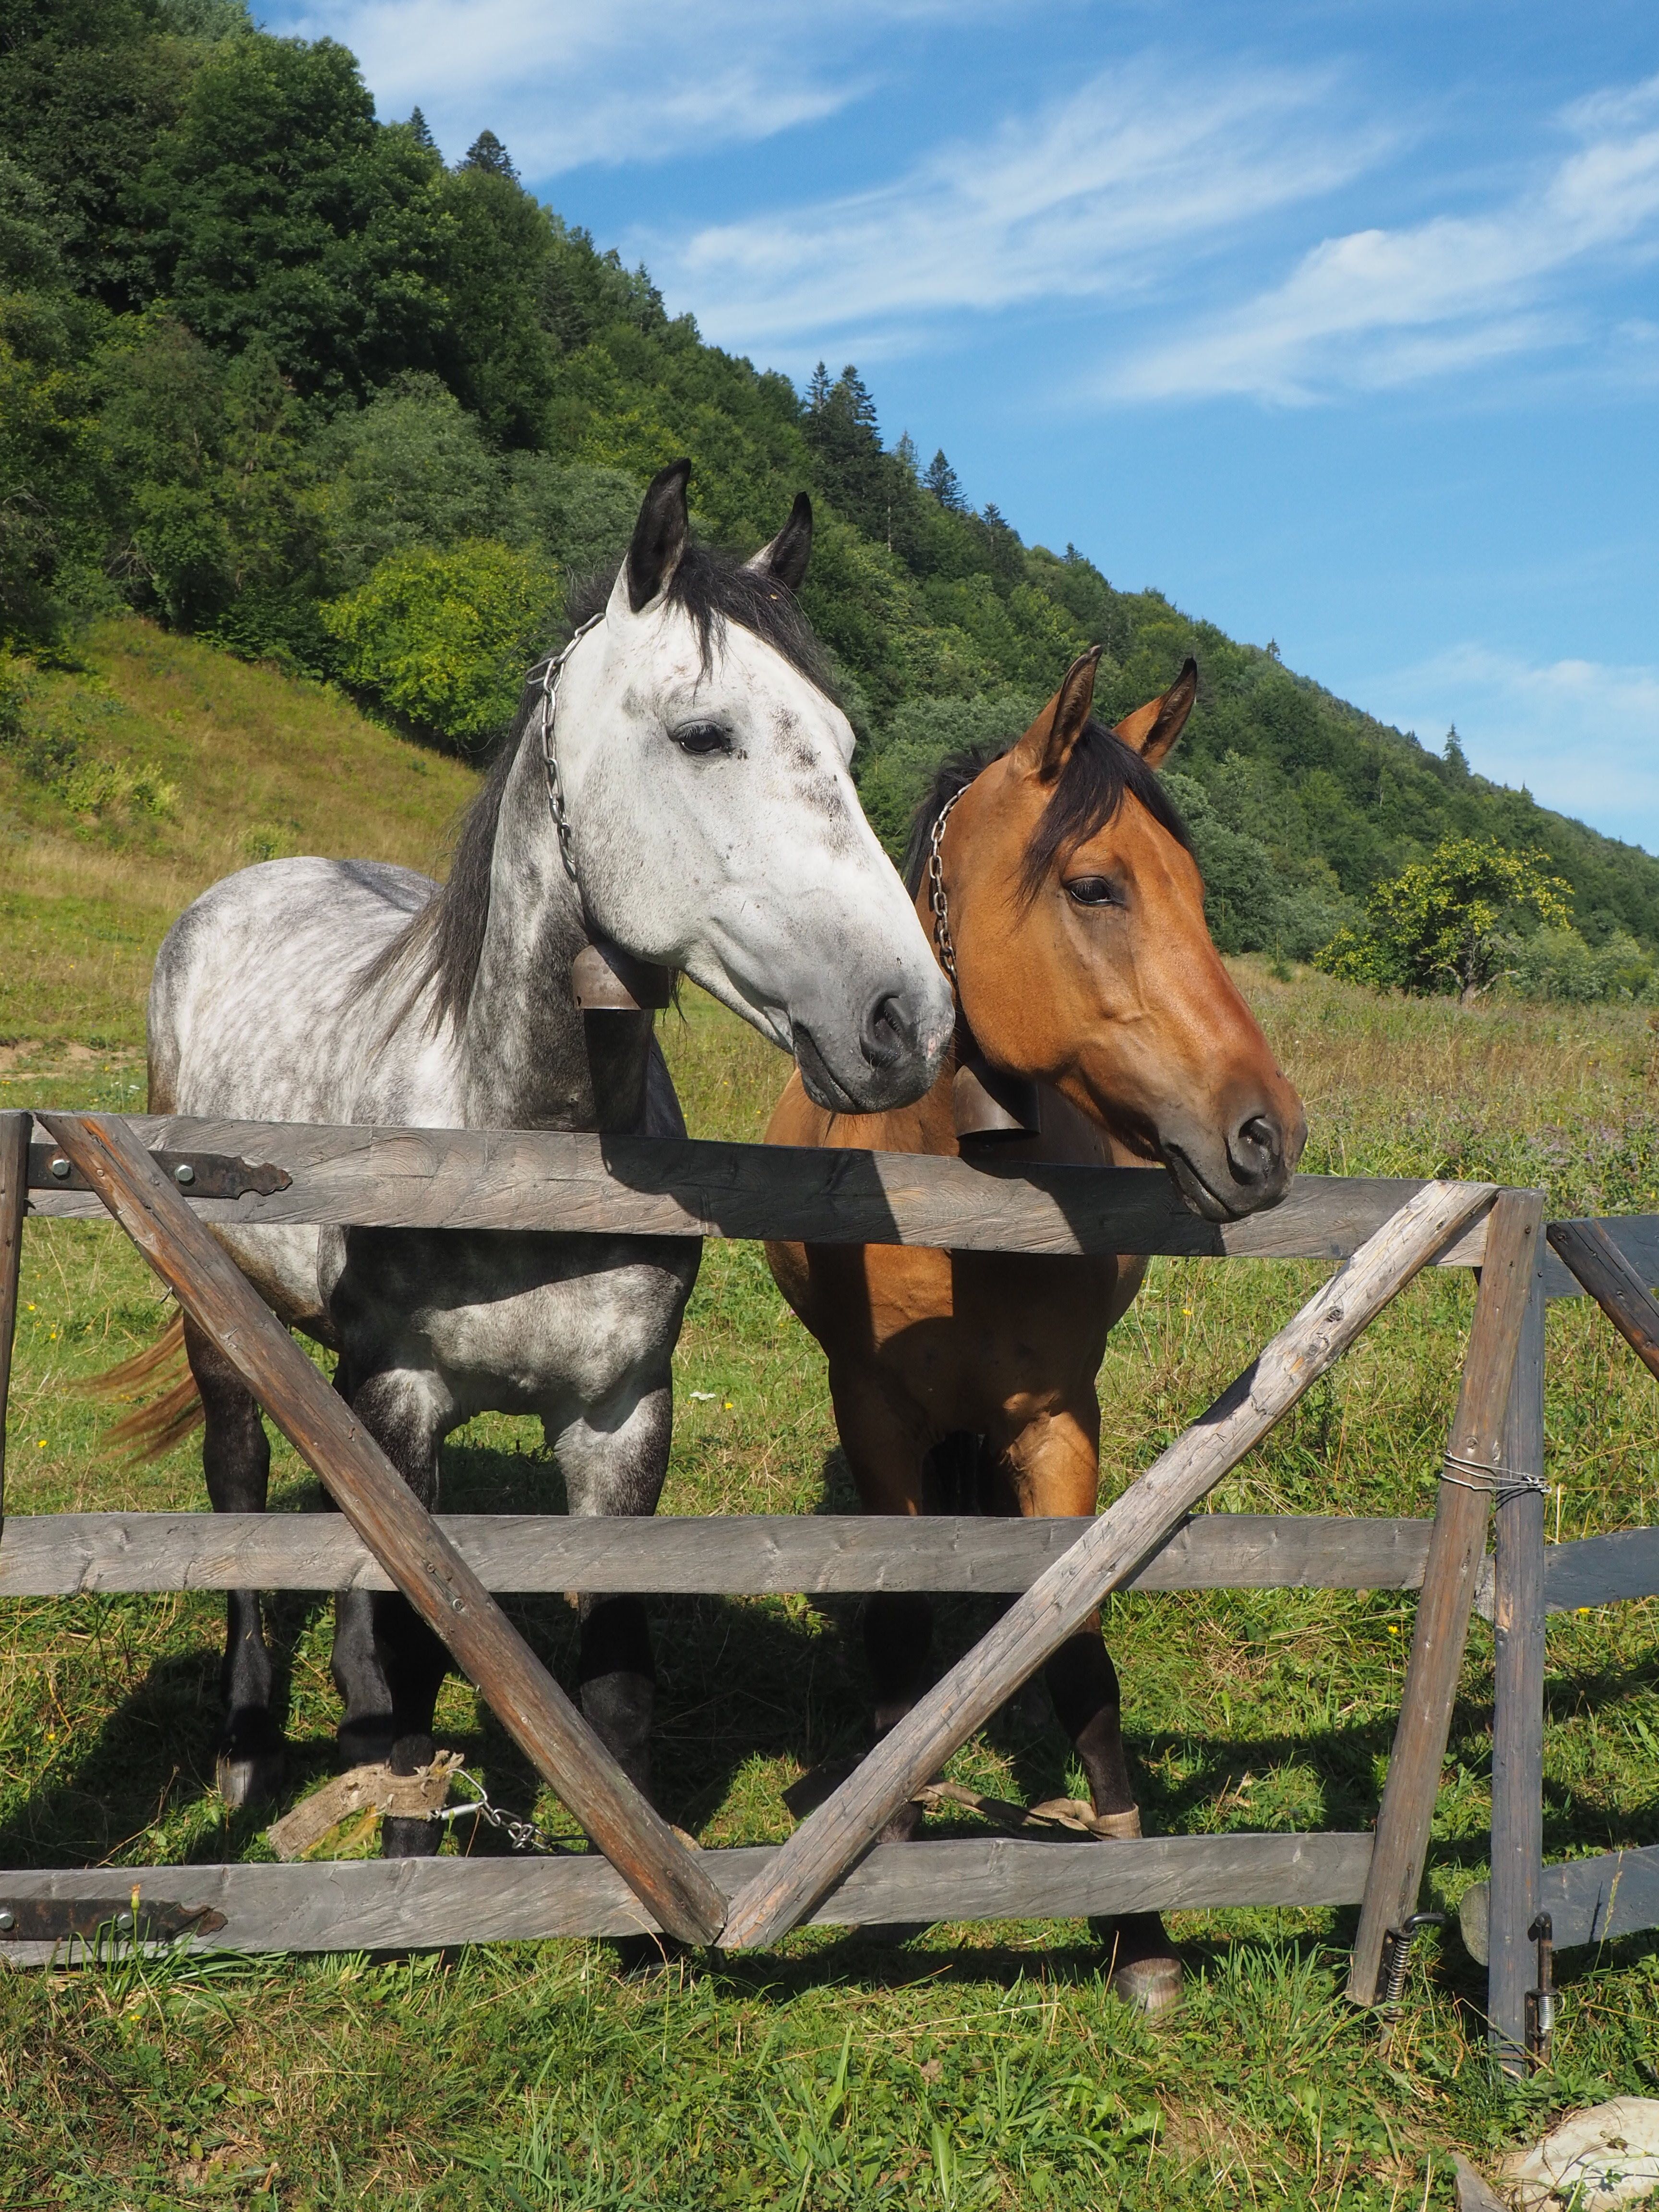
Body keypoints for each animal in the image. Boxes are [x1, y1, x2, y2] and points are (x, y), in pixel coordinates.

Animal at [112, 459, 955, 1849]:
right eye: (703, 734)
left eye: (842, 745)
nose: (909, 1022)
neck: (520, 1141)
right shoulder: (403, 1399)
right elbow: (404, 1677)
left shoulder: (618, 1418)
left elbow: (608, 1694)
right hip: (218, 1315)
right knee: (239, 1488)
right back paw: (243, 1749)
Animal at [764, 646, 1306, 2006]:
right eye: (1096, 885)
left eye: (1200, 893)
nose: (1267, 1137)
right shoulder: (876, 1414)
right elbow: (901, 1619)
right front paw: (889, 1845)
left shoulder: (1059, 1421)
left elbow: (1074, 1649)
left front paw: (1138, 1925)